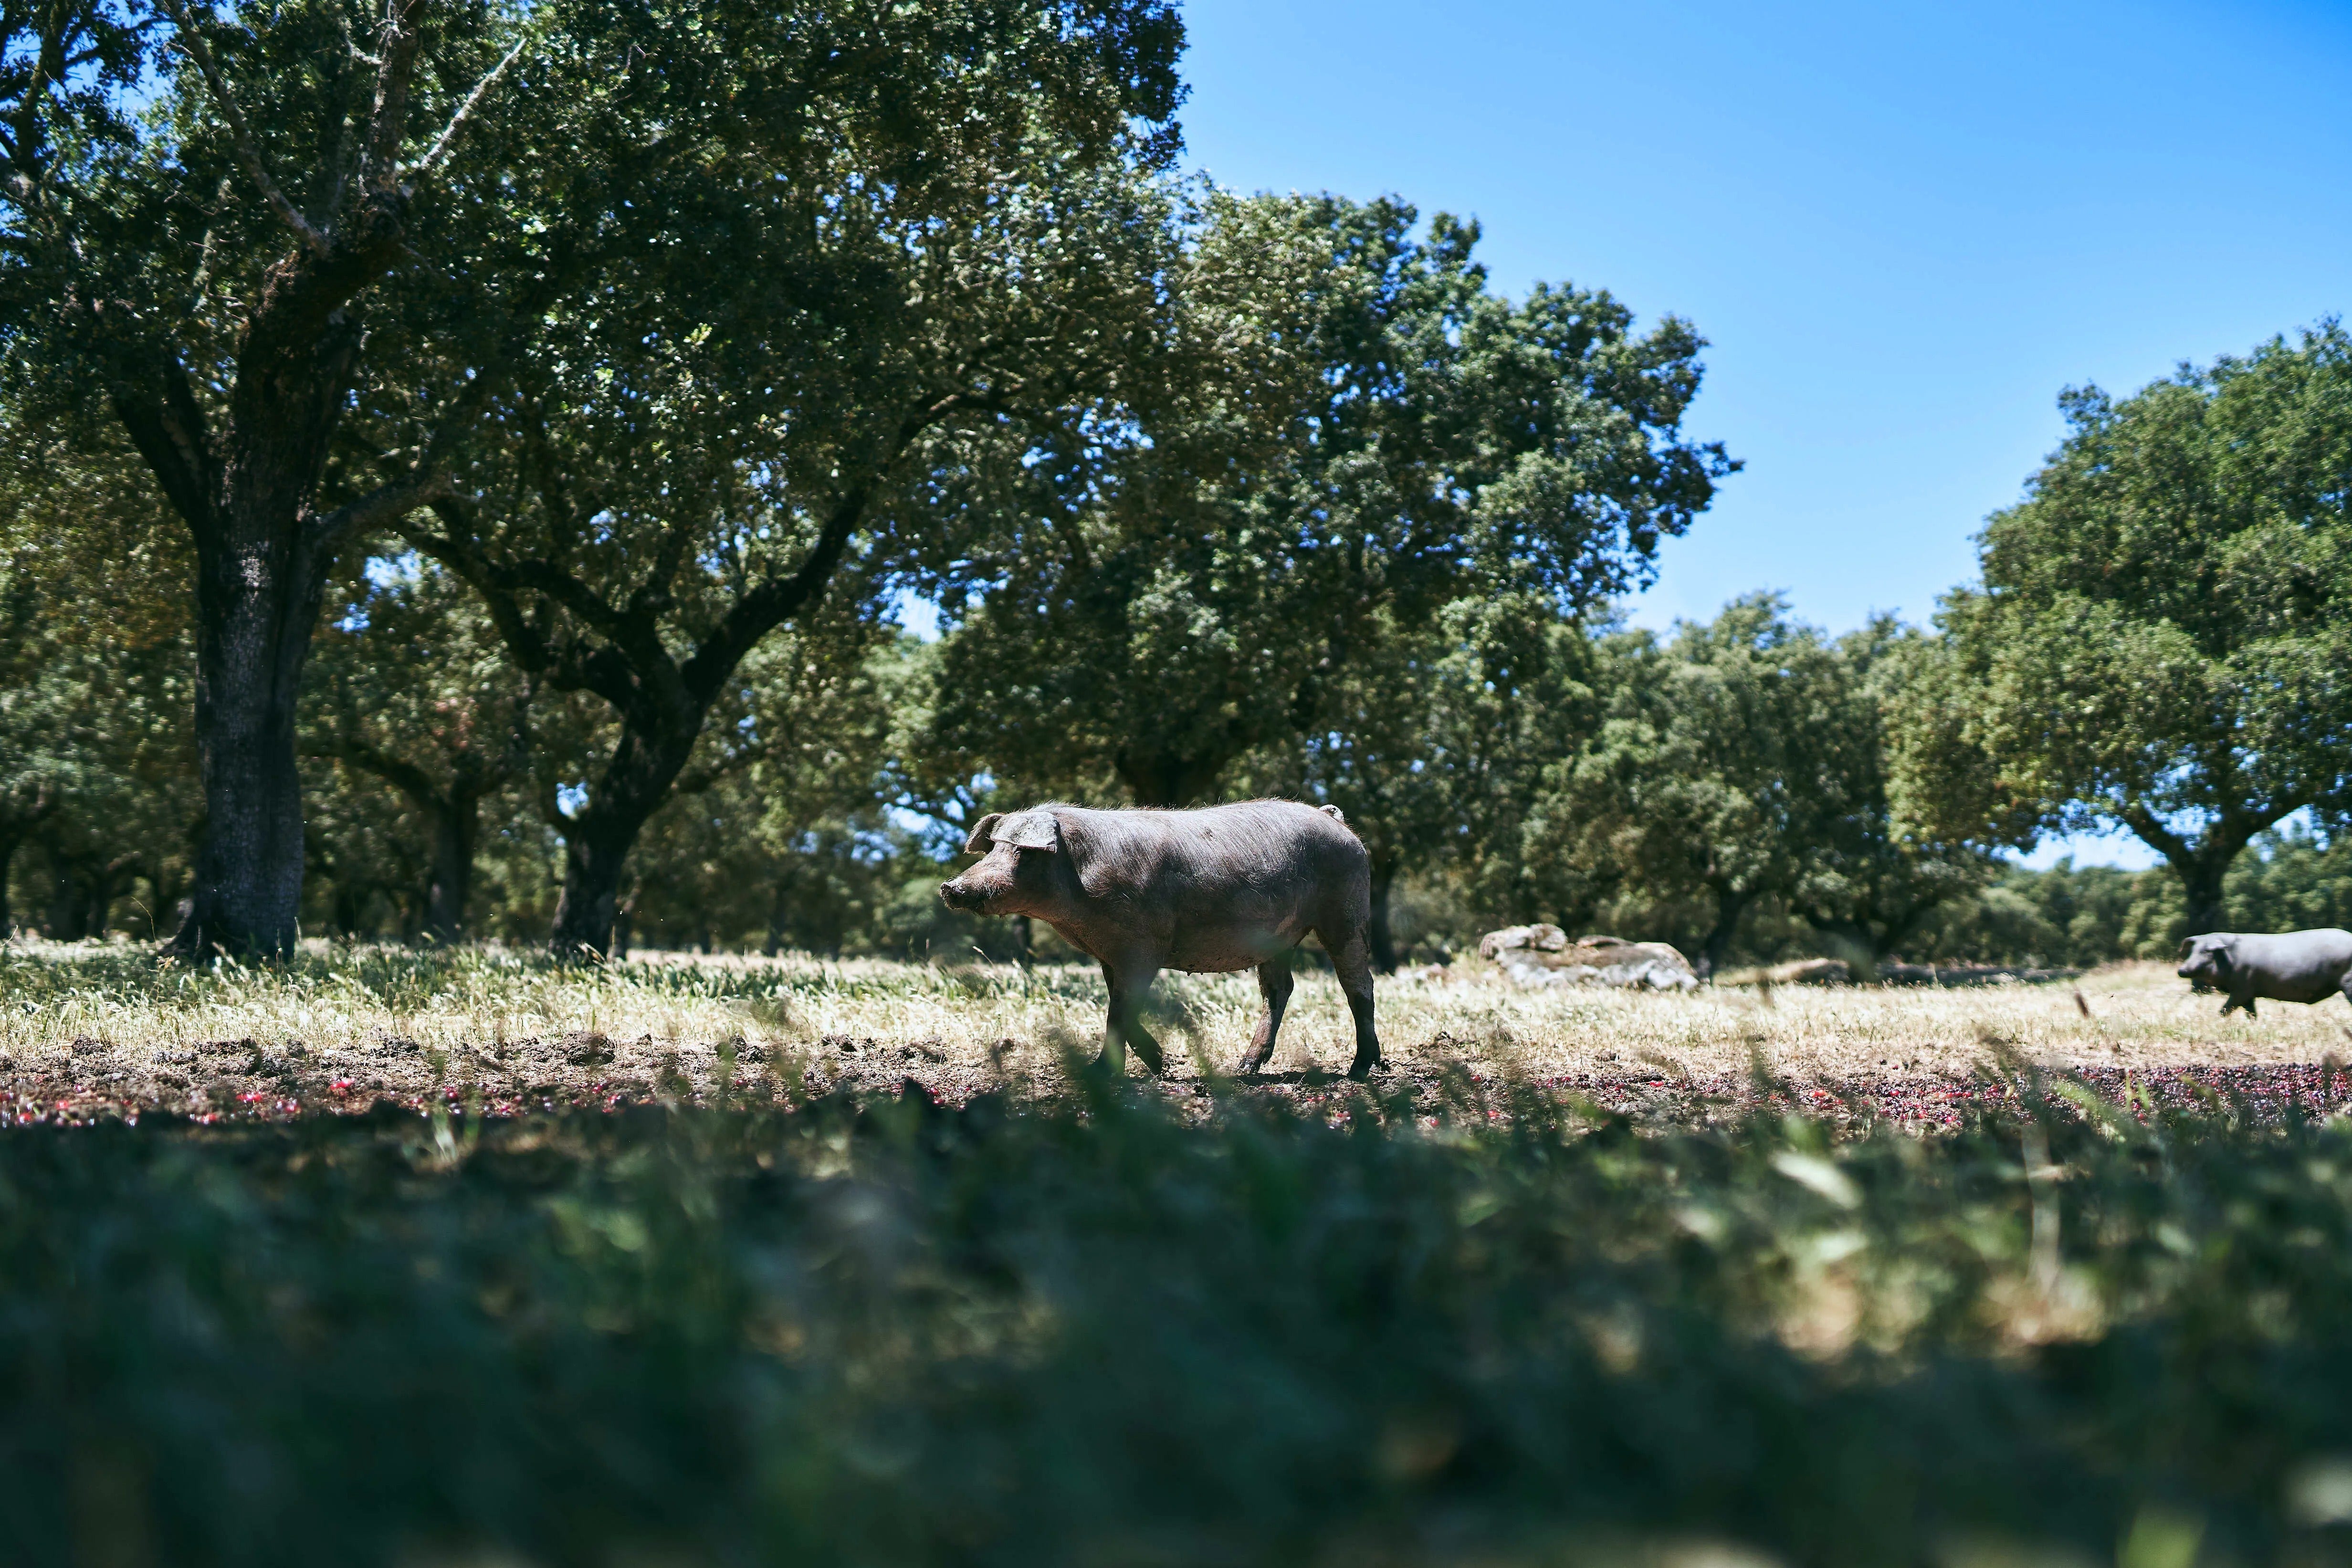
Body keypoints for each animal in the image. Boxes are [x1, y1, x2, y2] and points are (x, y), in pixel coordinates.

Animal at [938, 800, 1382, 1078]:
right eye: (992, 848)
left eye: (1023, 852)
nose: (951, 887)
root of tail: (1336, 822)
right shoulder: (1110, 954)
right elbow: (1119, 1005)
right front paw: (1160, 1065)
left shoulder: (1142, 945)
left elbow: (1118, 1012)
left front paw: (1099, 1074)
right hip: (1277, 938)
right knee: (1280, 989)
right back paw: (1243, 1069)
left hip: (1347, 911)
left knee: (1359, 985)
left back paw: (1360, 1069)